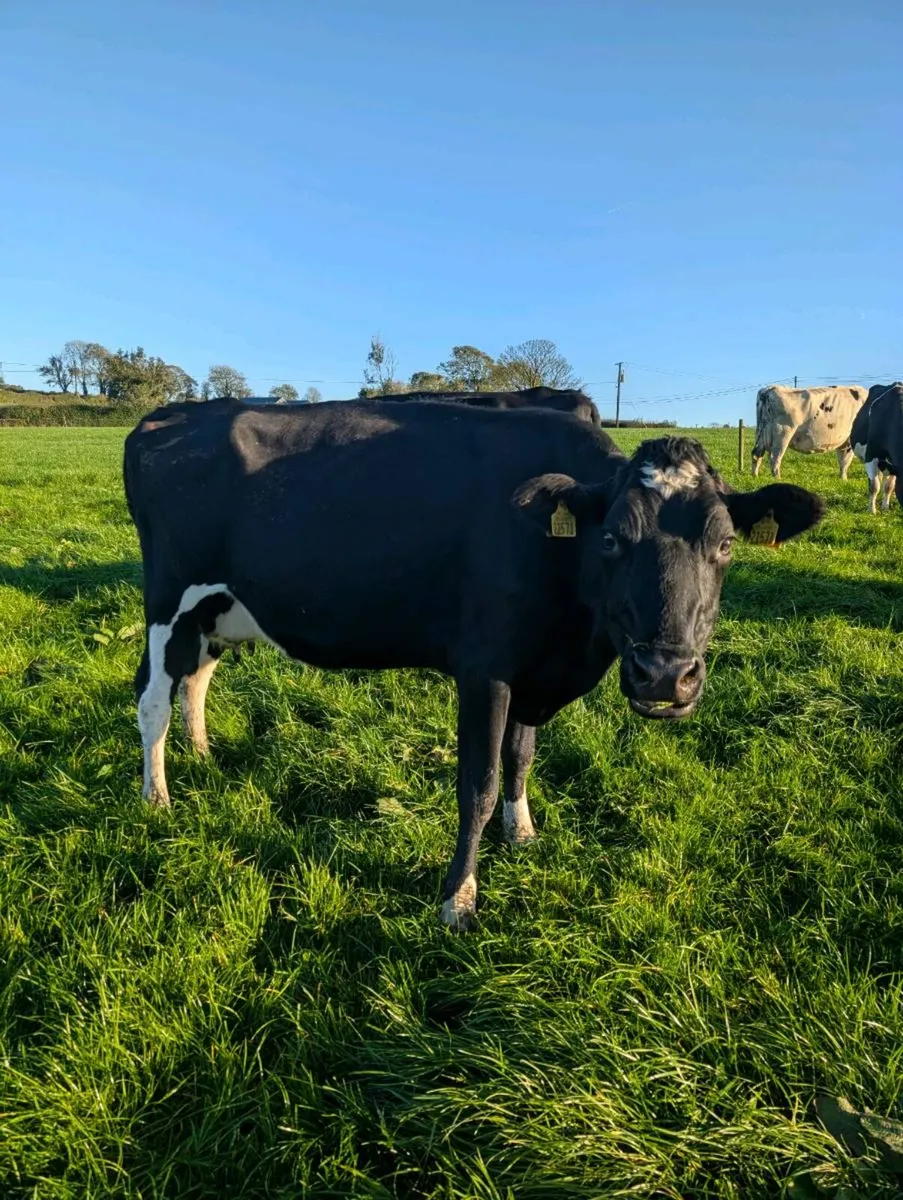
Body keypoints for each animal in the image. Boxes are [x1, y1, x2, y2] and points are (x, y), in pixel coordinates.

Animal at [124, 398, 824, 928]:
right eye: (609, 539)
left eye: (725, 544)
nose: (664, 676)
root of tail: (168, 414)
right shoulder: (485, 668)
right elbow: (478, 784)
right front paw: (459, 897)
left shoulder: (533, 668)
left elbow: (520, 758)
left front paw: (524, 832)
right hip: (169, 597)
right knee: (153, 696)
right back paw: (157, 797)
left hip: (218, 608)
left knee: (198, 676)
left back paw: (203, 755)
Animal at [849, 383, 903, 513]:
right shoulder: (871, 455)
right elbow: (874, 486)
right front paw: (871, 510)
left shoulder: (894, 464)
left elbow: (889, 486)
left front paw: (885, 508)